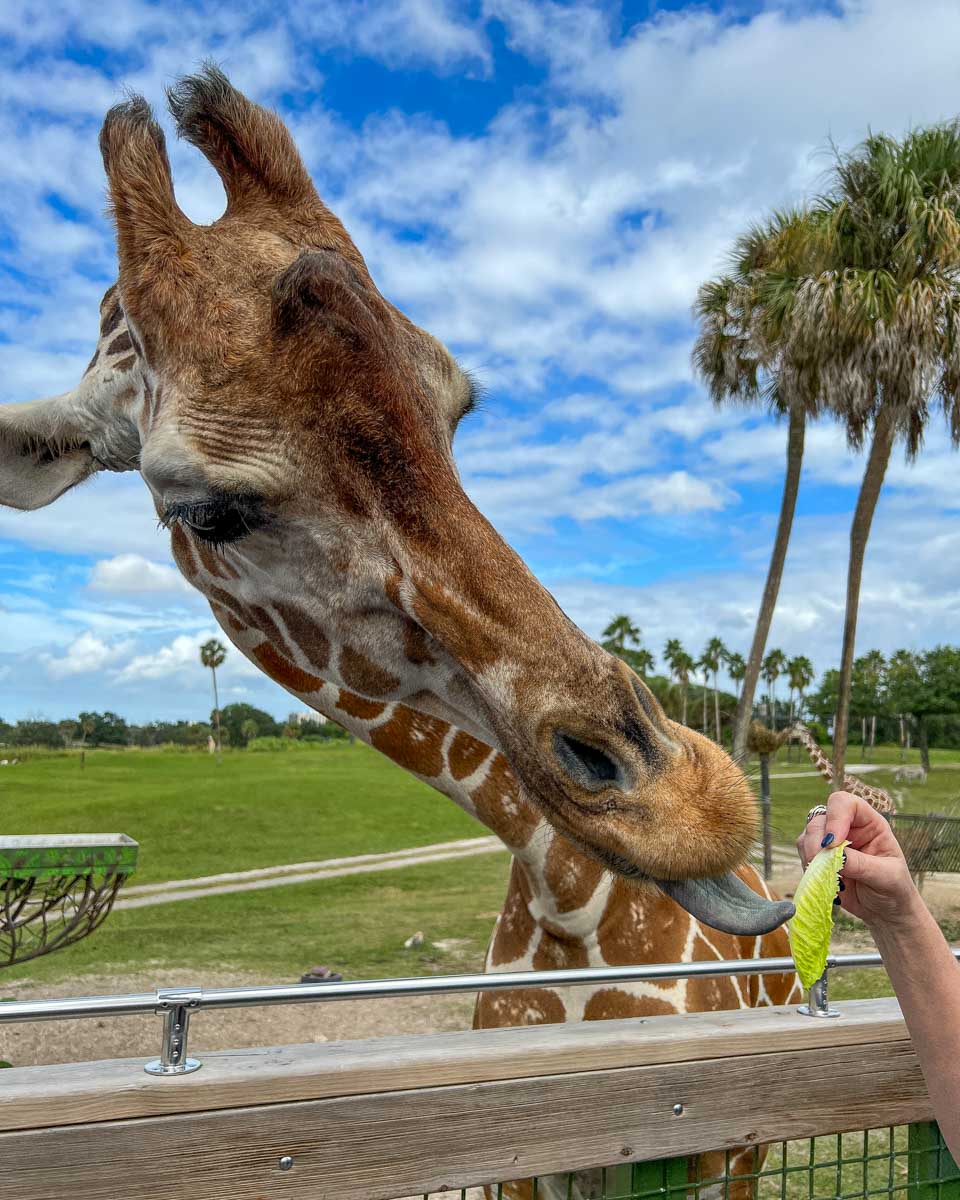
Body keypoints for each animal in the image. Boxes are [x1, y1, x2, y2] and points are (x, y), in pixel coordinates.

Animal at [0, 70, 797, 1198]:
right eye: (205, 509)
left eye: (456, 408)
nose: (695, 805)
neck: (573, 913)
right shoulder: (528, 1163)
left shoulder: (717, 1150)